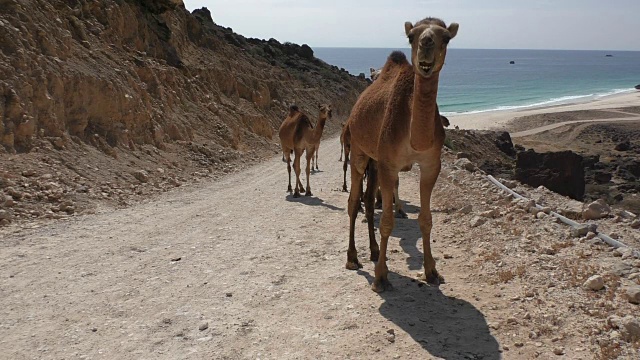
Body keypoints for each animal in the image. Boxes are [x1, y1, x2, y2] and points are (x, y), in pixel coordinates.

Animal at [348, 17, 458, 292]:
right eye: (412, 36)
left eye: (446, 37)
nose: (426, 43)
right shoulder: (389, 164)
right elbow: (387, 221)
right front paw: (381, 277)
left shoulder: (431, 165)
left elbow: (426, 219)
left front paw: (431, 271)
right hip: (358, 151)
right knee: (353, 201)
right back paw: (352, 258)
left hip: (374, 159)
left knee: (367, 201)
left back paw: (374, 251)